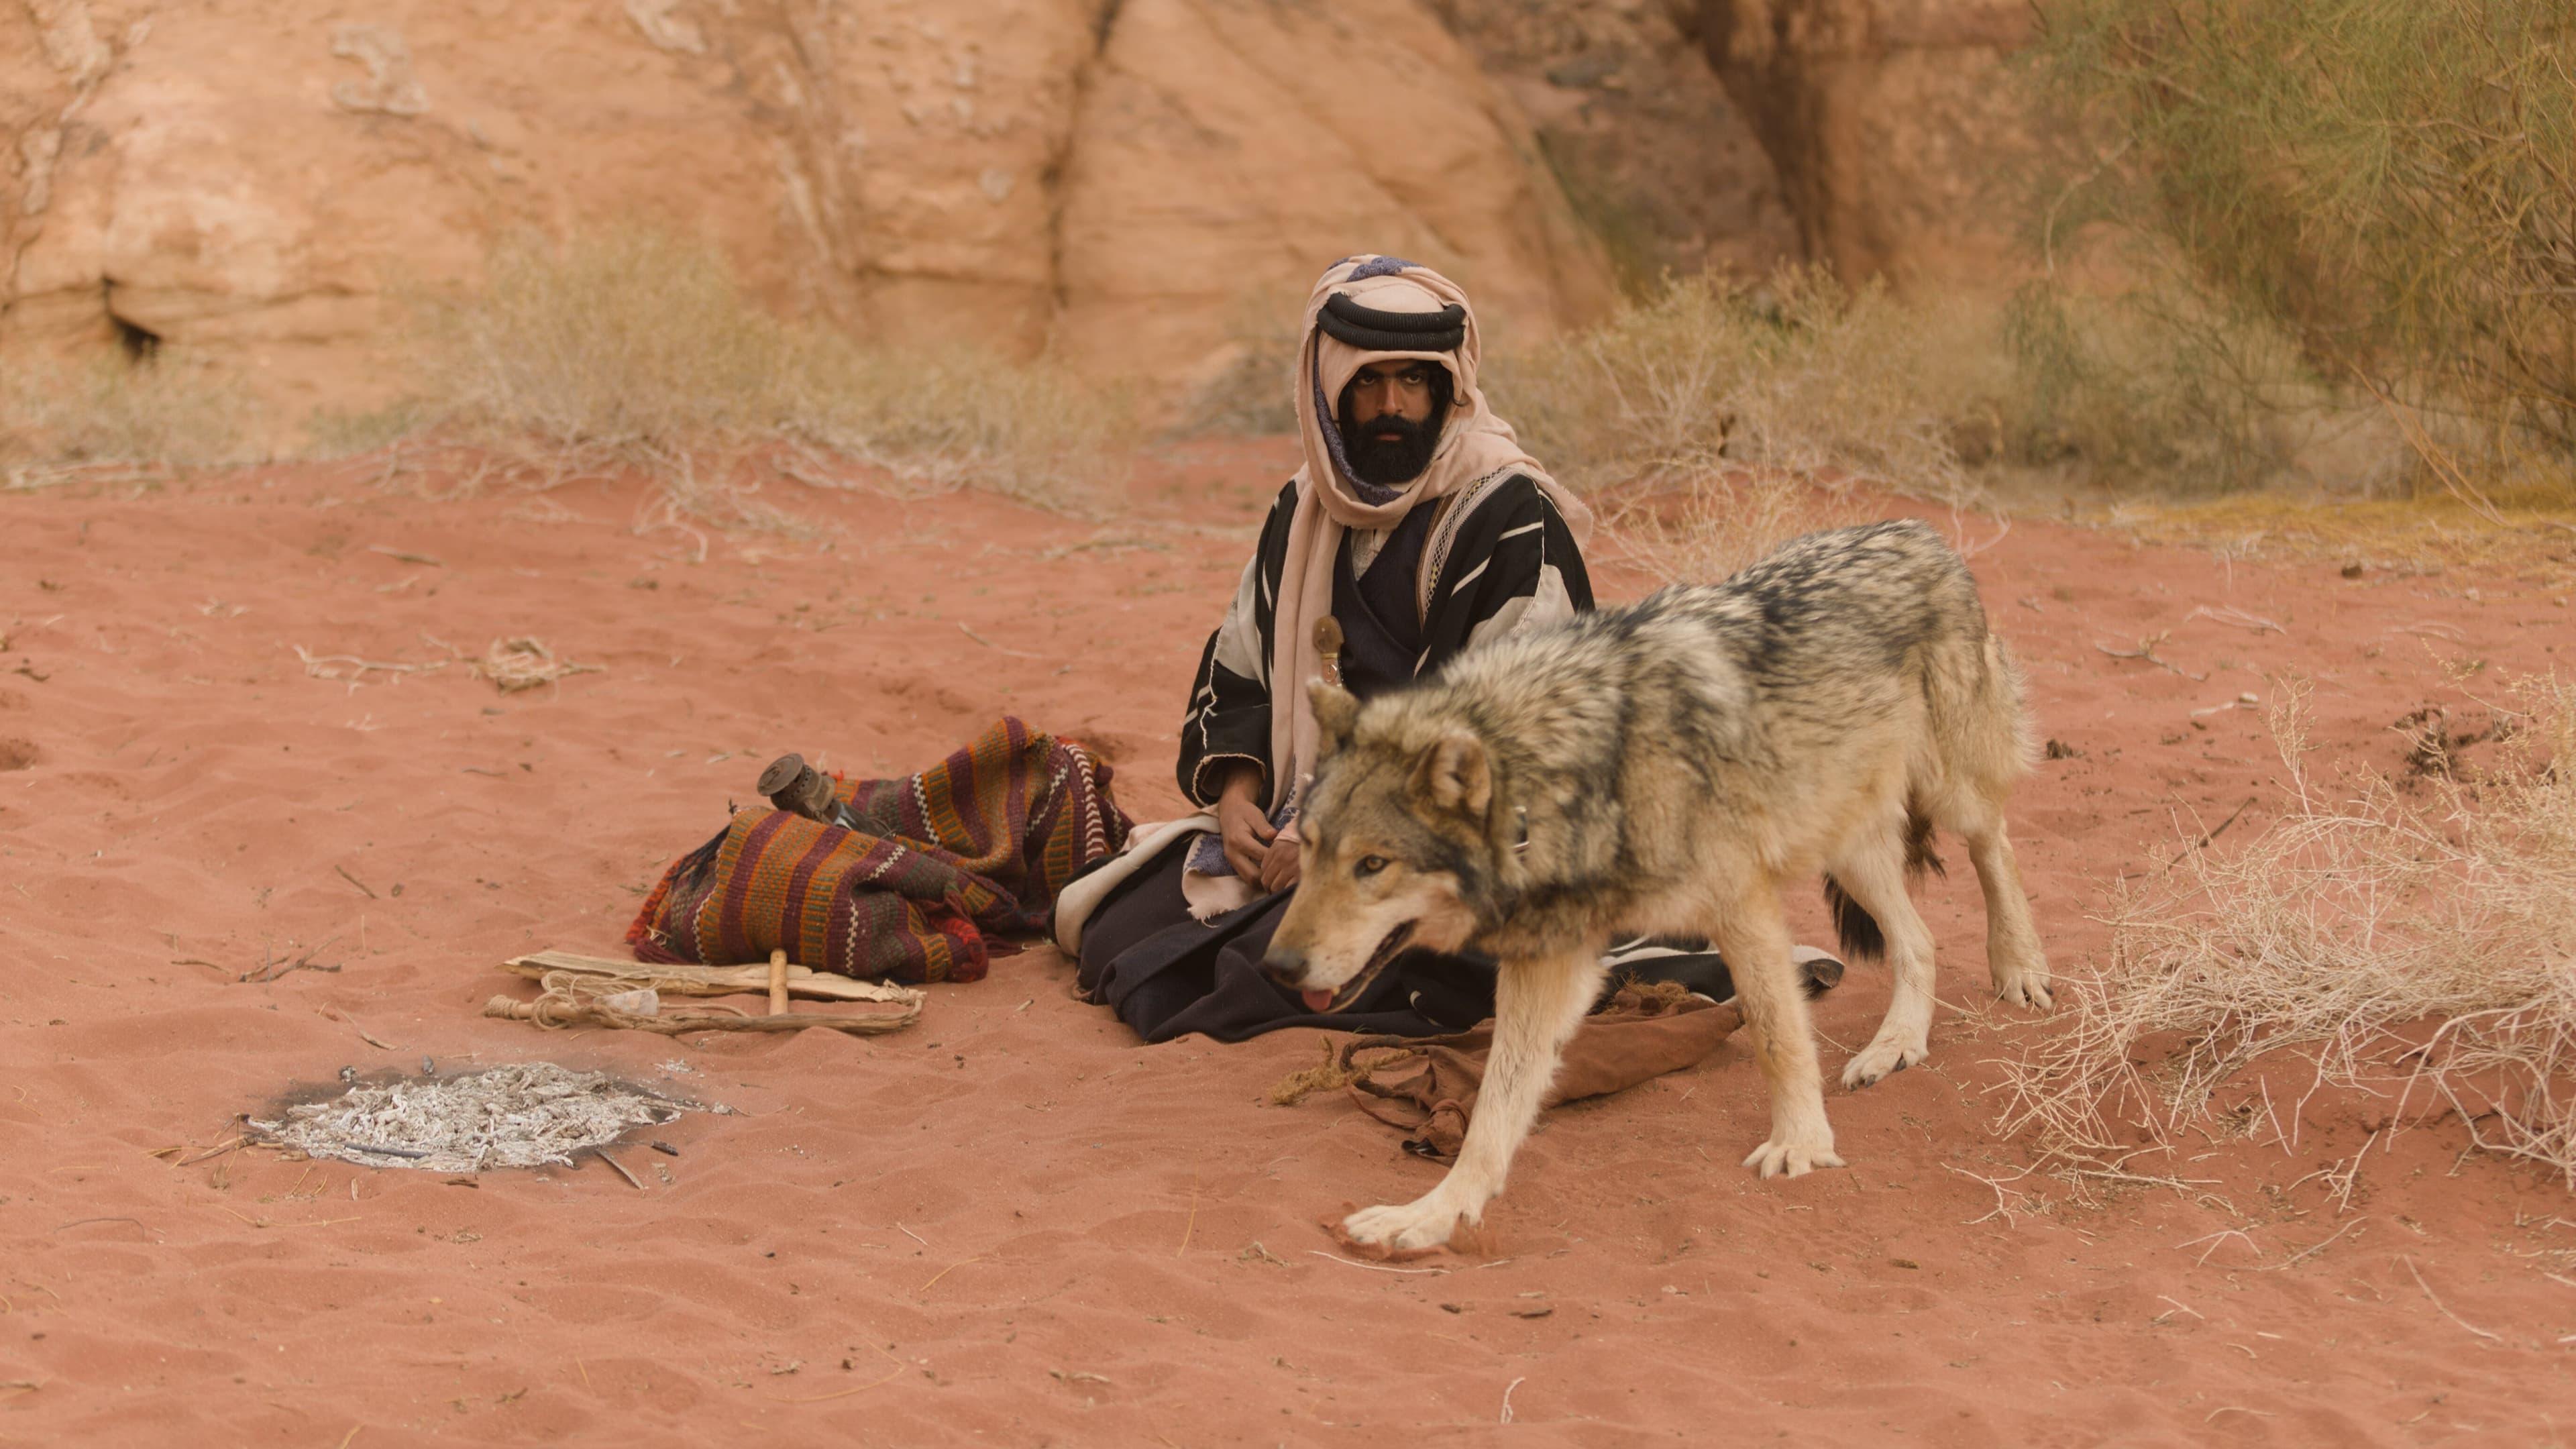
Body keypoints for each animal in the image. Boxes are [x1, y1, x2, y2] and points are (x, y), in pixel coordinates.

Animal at [1267, 515, 2050, 1242]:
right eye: (1308, 849)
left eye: (1372, 865)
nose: (1279, 966)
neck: (1572, 780)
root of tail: (1920, 532)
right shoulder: (1548, 964)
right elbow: (1494, 1107)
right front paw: (1433, 1214)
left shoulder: (1740, 906)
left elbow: (1776, 1034)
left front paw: (1800, 1143)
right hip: (1846, 845)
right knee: (1919, 940)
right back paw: (1896, 1045)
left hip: (1946, 794)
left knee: (1999, 844)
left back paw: (2020, 968)